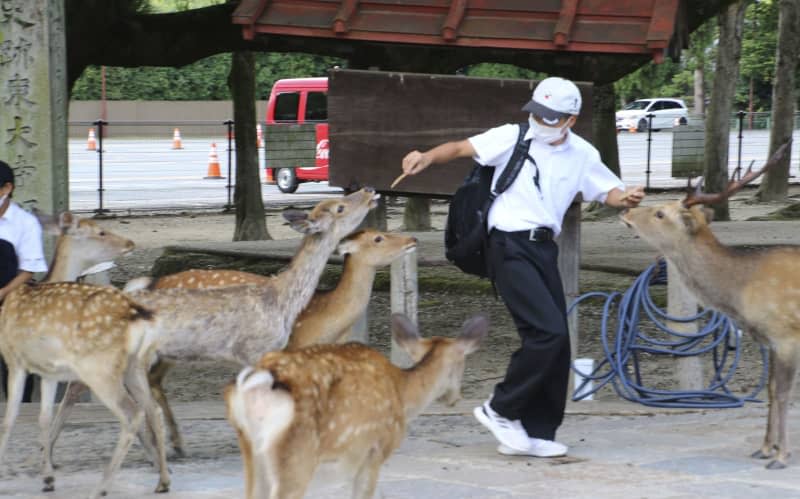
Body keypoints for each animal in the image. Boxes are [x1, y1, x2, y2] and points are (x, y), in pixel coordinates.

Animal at [223, 312, 488, 499]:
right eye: (462, 364)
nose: (454, 398)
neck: (403, 393)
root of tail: (256, 384)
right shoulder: (375, 449)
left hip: (251, 448)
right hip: (298, 453)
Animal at [620, 143, 796, 470]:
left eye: (660, 212)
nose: (626, 209)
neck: (741, 291)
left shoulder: (786, 335)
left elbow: (782, 393)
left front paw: (780, 456)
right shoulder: (767, 340)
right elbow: (769, 390)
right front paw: (764, 449)